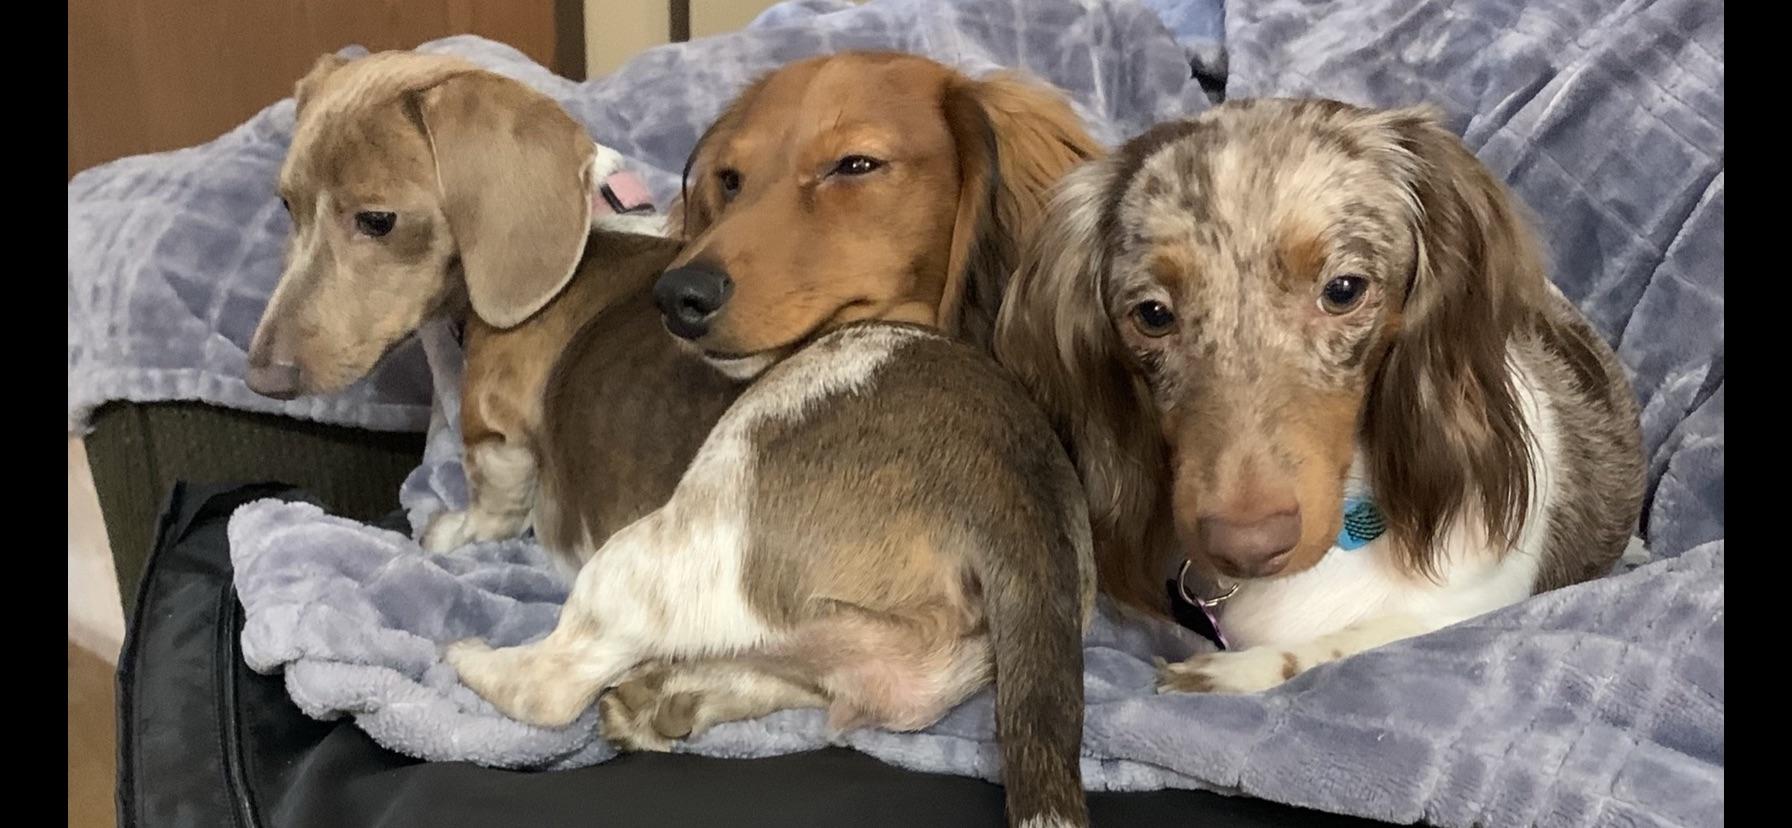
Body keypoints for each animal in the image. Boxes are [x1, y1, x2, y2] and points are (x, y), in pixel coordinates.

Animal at [448, 322, 1097, 828]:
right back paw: (668, 698)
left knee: (551, 688)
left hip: (656, 558)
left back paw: (476, 660)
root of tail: (1016, 487)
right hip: (900, 664)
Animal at [993, 99, 1645, 694]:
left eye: (1344, 289)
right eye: (1153, 315)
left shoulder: (1468, 606)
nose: (1248, 545)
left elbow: (1348, 645)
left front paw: (1234, 672)